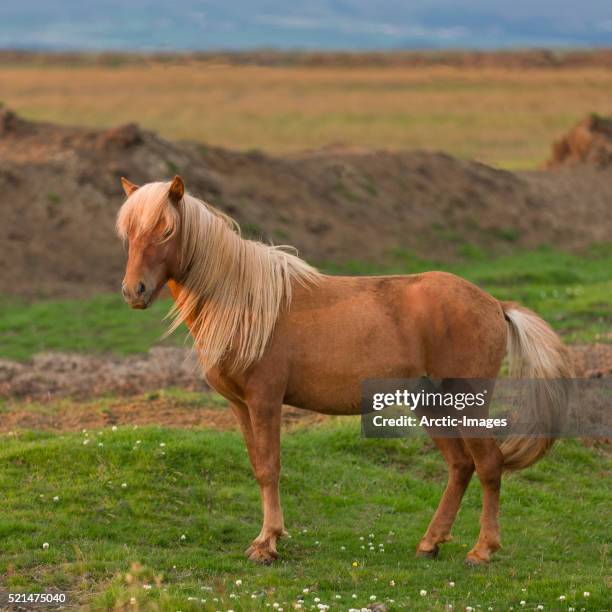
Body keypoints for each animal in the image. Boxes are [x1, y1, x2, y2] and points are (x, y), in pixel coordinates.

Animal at [116, 175, 572, 568]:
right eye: (129, 234)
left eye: (167, 230)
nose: (134, 291)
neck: (247, 302)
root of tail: (494, 304)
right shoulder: (239, 406)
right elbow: (258, 466)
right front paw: (266, 538)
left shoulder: (265, 401)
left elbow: (270, 468)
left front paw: (267, 544)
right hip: (431, 402)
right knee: (461, 466)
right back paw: (430, 543)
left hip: (465, 402)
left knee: (489, 464)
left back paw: (482, 550)